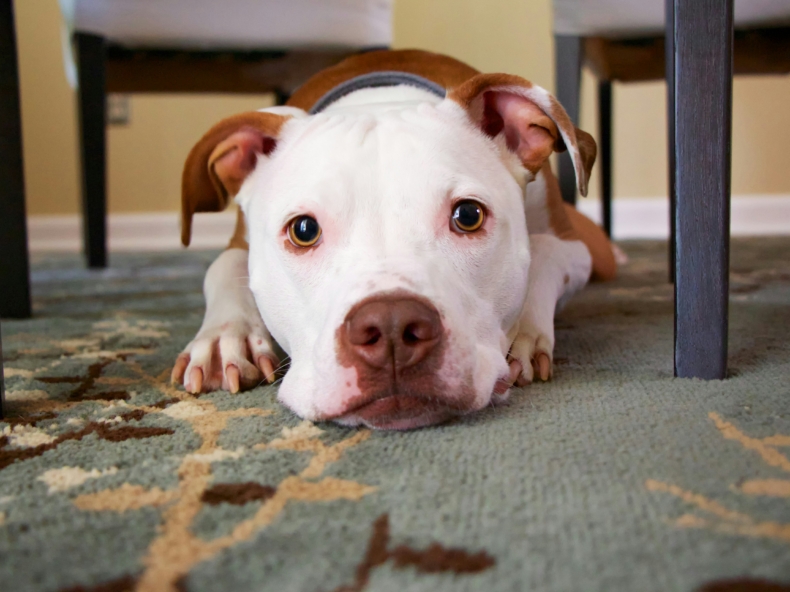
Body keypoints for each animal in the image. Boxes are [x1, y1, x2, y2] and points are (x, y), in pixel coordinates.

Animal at [172, 49, 620, 430]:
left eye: (468, 215)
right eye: (303, 230)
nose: (390, 327)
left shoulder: (574, 247)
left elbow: (544, 252)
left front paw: (524, 334)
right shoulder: (239, 243)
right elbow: (222, 266)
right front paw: (225, 338)